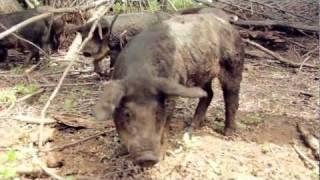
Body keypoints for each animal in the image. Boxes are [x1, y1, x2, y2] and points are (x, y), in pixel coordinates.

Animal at [94, 13, 244, 166]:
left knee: (231, 96)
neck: (140, 74)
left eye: (157, 112)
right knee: (209, 94)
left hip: (234, 64)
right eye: (127, 114)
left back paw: (228, 133)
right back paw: (190, 128)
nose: (147, 158)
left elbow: (166, 124)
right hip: (203, 74)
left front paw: (162, 156)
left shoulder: (172, 89)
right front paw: (118, 152)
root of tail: (230, 26)